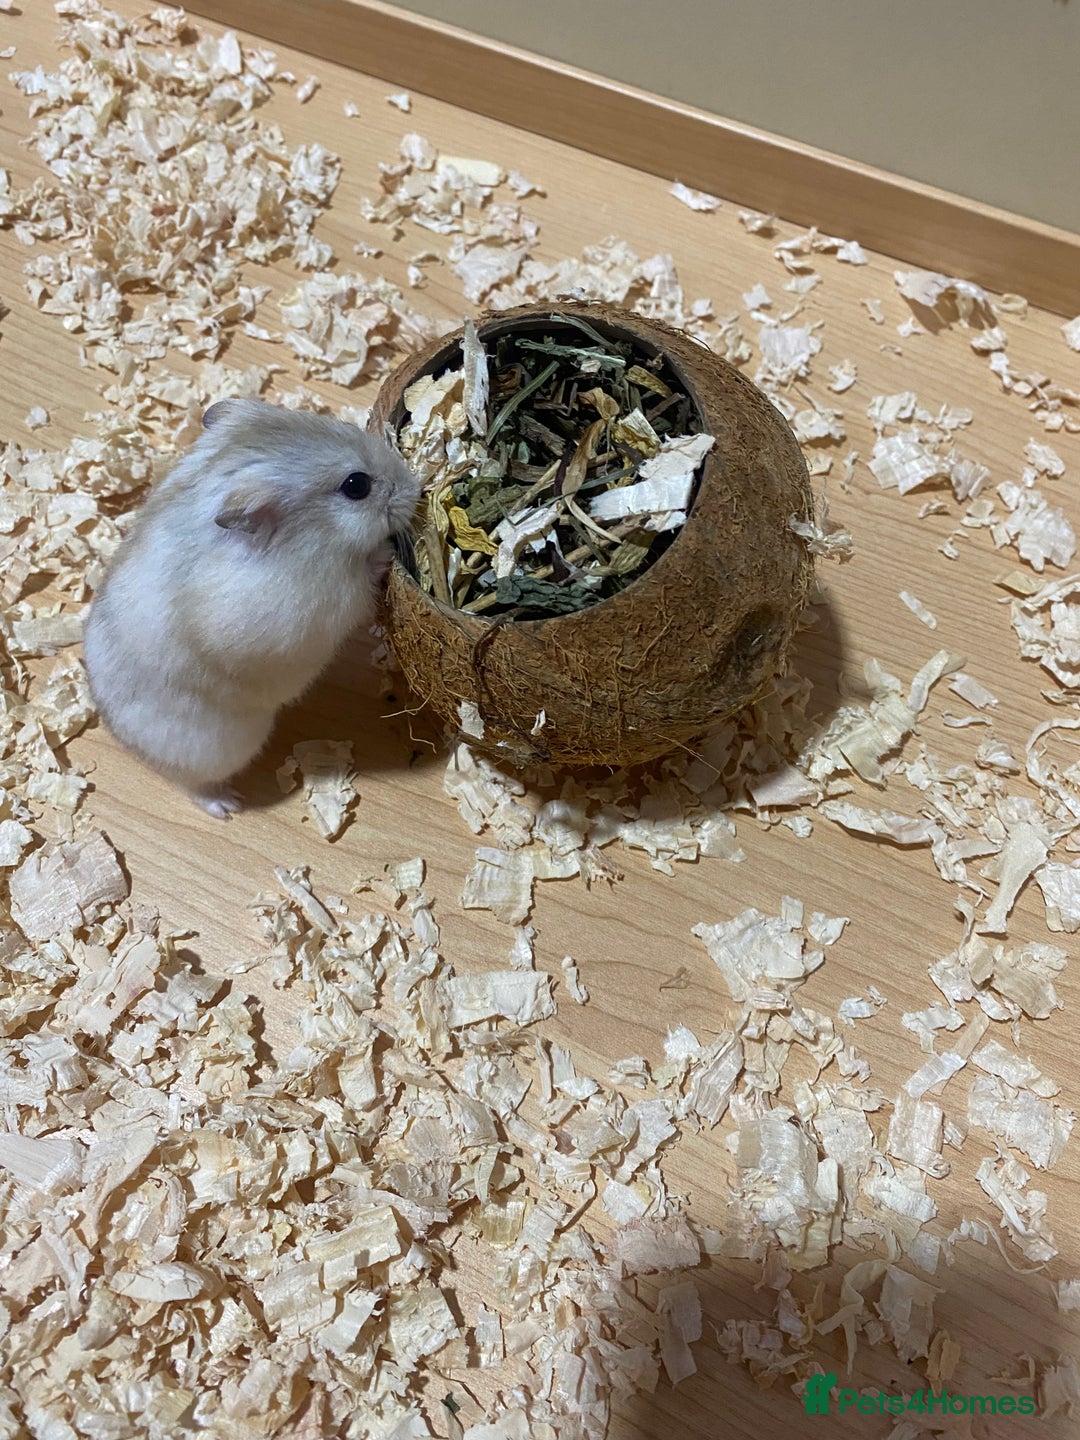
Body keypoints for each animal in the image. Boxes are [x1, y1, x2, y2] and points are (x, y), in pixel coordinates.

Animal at [83, 398, 421, 817]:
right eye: (356, 486)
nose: (416, 487)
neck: (312, 541)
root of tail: (122, 741)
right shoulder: (317, 612)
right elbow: (359, 584)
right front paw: (383, 554)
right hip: (213, 752)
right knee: (187, 783)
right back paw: (227, 805)